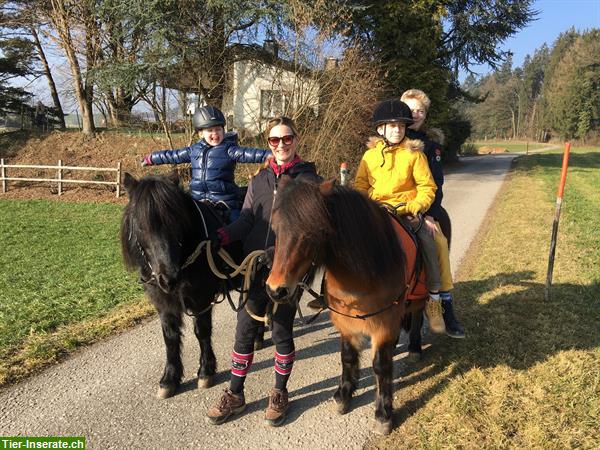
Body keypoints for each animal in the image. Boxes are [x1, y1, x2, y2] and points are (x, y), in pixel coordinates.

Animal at [119, 171, 237, 400]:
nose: (169, 278)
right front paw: (169, 379)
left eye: (177, 221)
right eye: (140, 225)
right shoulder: (164, 303)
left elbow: (202, 331)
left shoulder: (201, 299)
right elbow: (170, 337)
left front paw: (206, 371)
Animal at [266, 177, 426, 436]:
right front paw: (344, 394)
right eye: (276, 230)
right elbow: (347, 357)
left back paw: (414, 348)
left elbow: (380, 366)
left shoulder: (384, 326)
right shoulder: (345, 324)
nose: (275, 290)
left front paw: (383, 414)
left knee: (417, 318)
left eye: (313, 231)